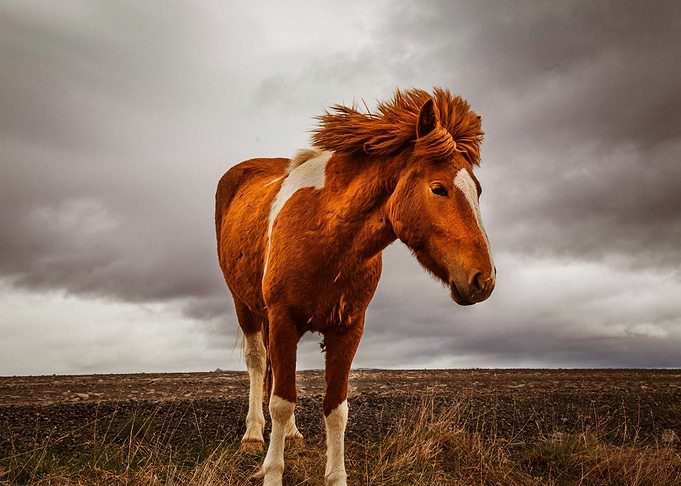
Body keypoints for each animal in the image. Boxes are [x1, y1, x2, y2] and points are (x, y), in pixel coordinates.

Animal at [215, 87, 495, 486]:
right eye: (438, 188)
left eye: (478, 190)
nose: (483, 280)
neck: (327, 232)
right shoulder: (283, 318)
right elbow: (281, 401)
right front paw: (272, 471)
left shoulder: (348, 327)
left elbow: (335, 408)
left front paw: (334, 473)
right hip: (247, 306)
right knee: (257, 363)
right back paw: (254, 434)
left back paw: (291, 434)